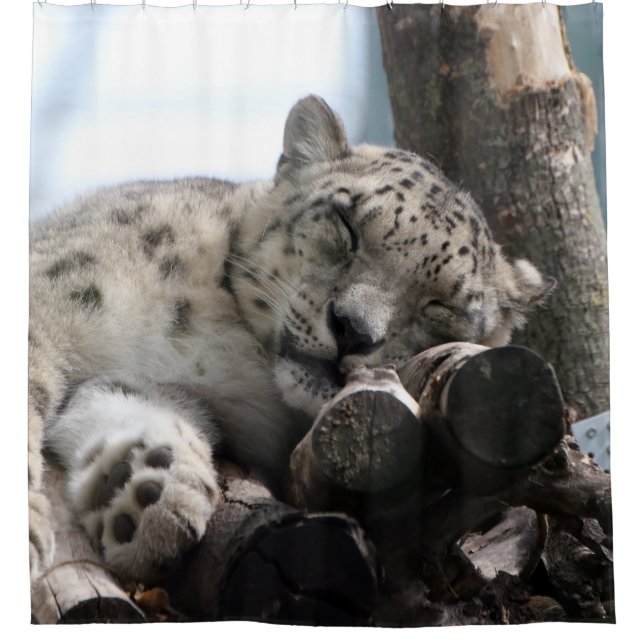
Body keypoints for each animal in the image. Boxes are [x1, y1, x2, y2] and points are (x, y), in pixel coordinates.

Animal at [28, 95, 554, 585]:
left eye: (440, 305)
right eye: (346, 225)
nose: (353, 329)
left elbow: (127, 402)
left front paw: (148, 490)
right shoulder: (52, 297)